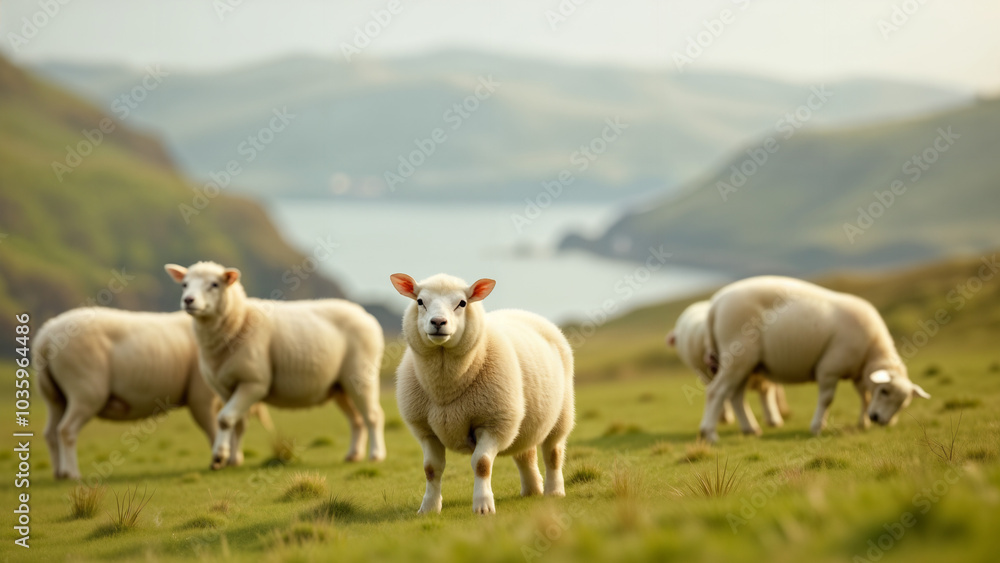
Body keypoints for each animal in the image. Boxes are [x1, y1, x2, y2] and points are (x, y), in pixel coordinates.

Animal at [34, 307, 274, 480]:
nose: (237, 461)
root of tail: (46, 337)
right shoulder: (202, 398)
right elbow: (215, 429)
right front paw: (219, 460)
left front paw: (228, 458)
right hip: (85, 391)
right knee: (66, 430)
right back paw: (72, 474)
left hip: (55, 397)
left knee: (51, 432)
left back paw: (59, 473)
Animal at [165, 261, 386, 469]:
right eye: (184, 284)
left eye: (214, 284)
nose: (188, 300)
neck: (239, 320)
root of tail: (365, 315)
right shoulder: (225, 387)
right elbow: (237, 423)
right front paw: (233, 459)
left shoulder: (254, 382)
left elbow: (225, 419)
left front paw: (219, 457)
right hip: (340, 387)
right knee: (357, 420)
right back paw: (354, 455)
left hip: (362, 376)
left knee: (373, 416)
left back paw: (376, 455)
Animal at [390, 273, 575, 515]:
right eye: (420, 301)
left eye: (462, 303)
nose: (438, 322)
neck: (445, 388)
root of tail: (522, 311)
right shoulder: (426, 430)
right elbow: (431, 468)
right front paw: (429, 507)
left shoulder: (494, 423)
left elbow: (482, 464)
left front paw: (483, 506)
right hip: (523, 424)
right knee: (525, 453)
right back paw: (531, 490)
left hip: (562, 415)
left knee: (553, 453)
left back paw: (554, 491)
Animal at [698, 275, 930, 443]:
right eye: (884, 391)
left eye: (903, 404)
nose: (879, 419)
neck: (871, 351)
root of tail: (715, 305)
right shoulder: (830, 368)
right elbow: (827, 399)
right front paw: (817, 427)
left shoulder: (857, 373)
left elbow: (863, 396)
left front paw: (863, 423)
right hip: (738, 354)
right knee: (716, 392)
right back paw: (709, 433)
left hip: (745, 363)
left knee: (735, 395)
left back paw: (750, 429)